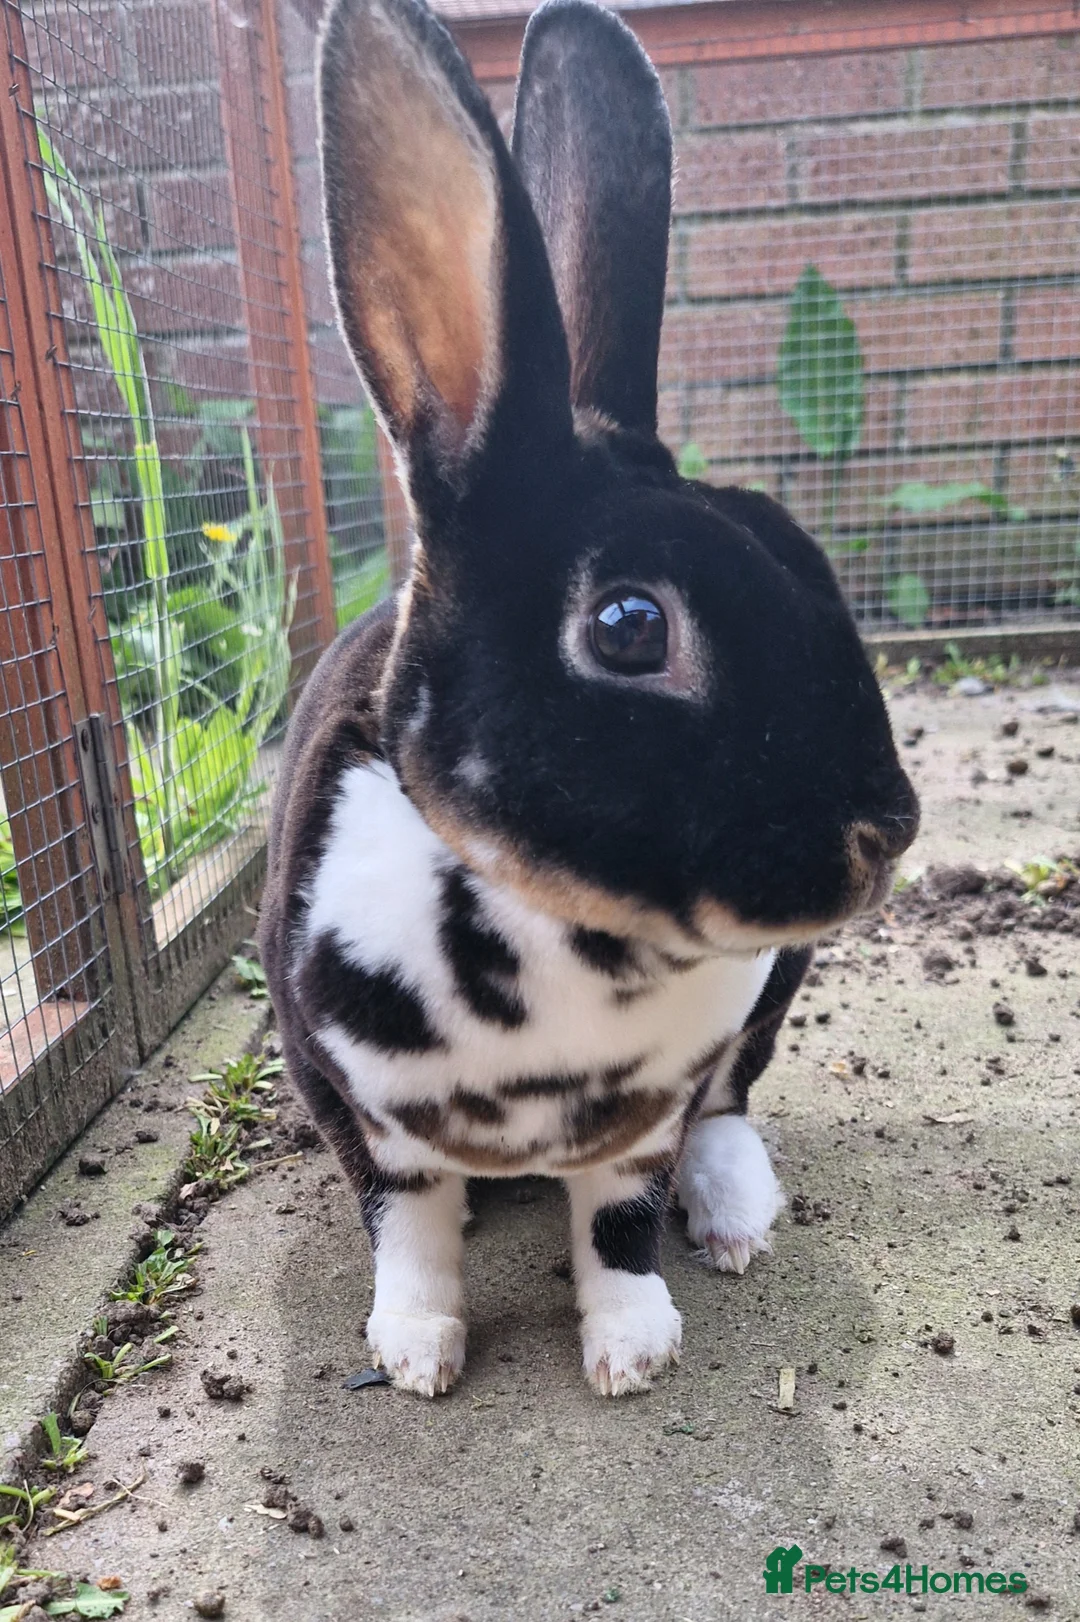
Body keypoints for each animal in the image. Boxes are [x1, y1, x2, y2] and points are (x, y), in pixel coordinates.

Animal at [259, 0, 919, 1399]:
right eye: (630, 626)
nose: (888, 830)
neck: (567, 941)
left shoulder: (645, 1114)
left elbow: (620, 1212)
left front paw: (633, 1349)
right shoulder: (355, 1102)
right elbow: (408, 1219)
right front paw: (416, 1350)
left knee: (732, 1105)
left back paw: (734, 1214)